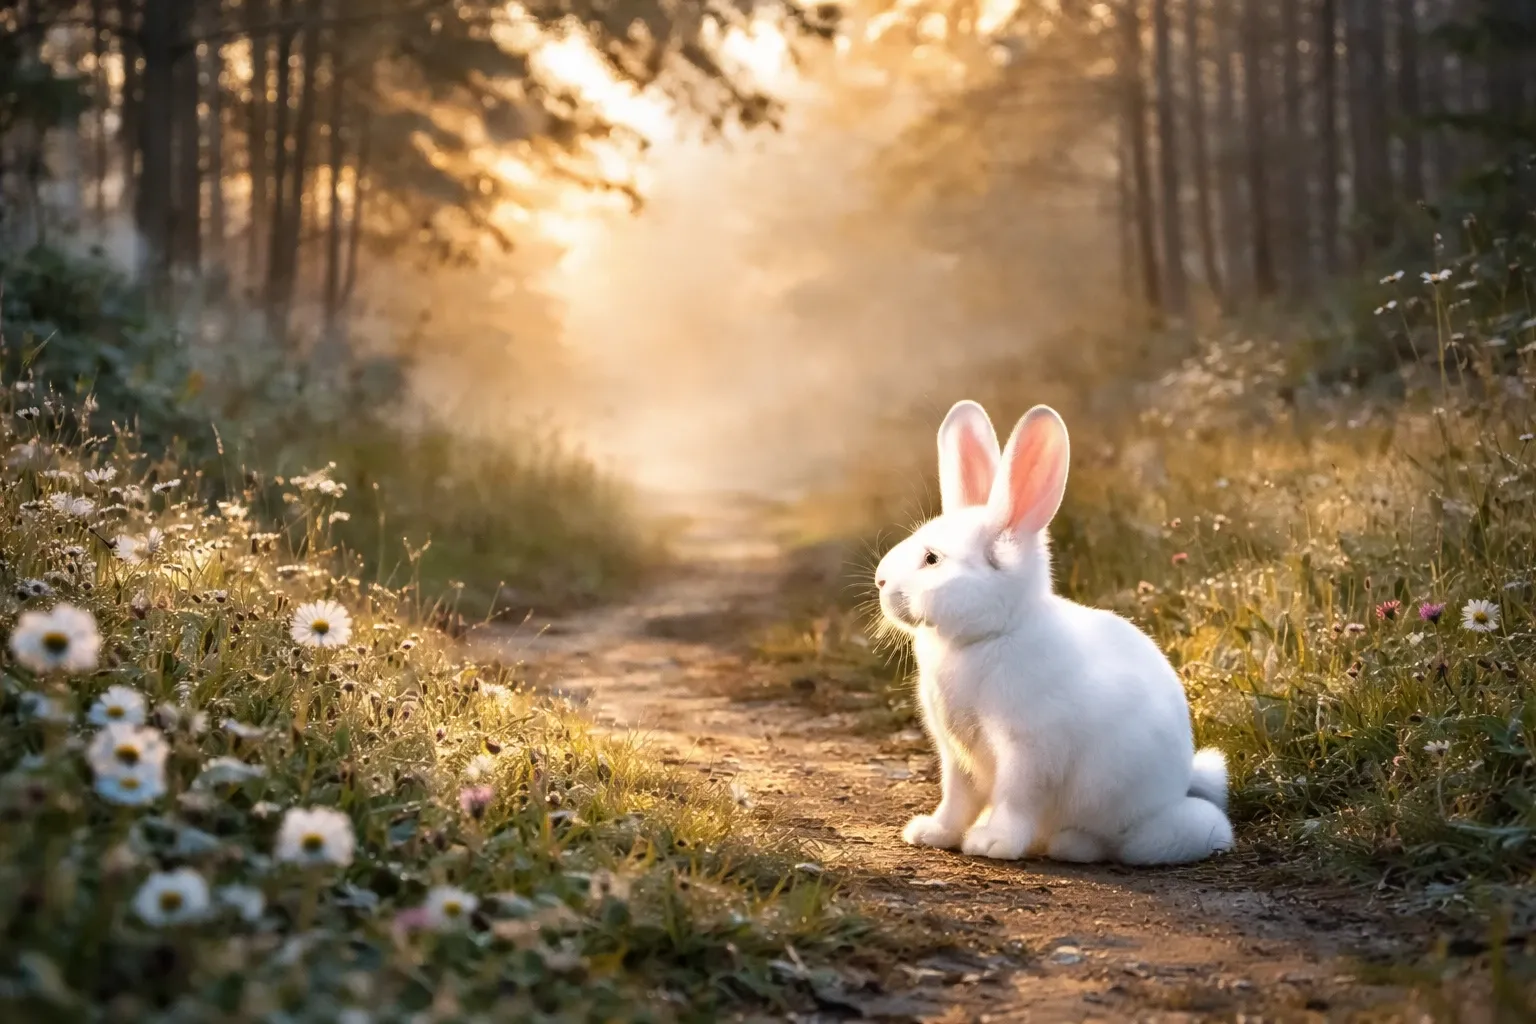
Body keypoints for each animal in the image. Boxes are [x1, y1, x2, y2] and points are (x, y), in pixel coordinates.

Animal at [873, 400, 1233, 864]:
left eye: (932, 559)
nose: (880, 580)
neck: (991, 635)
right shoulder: (956, 755)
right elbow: (957, 800)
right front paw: (932, 833)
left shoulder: (1030, 752)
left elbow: (1015, 800)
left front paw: (993, 843)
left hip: (1138, 817)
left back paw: (1070, 844)